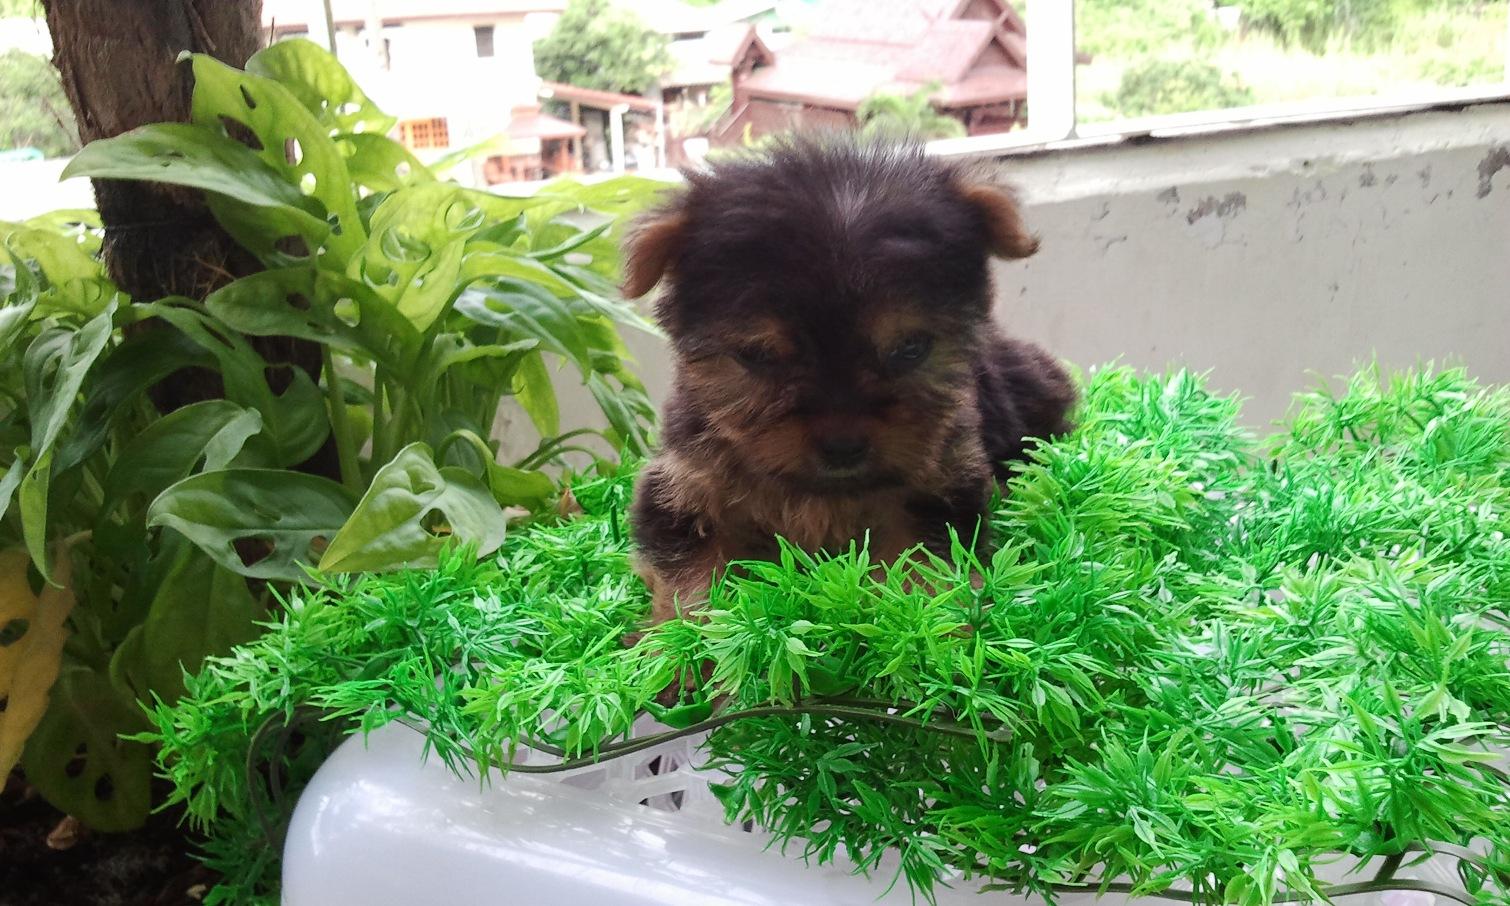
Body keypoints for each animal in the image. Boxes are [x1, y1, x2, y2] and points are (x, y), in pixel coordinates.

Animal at [621, 137, 1075, 623]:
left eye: (911, 348)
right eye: (758, 356)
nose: (843, 447)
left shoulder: (940, 485)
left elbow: (923, 563)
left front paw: (926, 624)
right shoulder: (682, 488)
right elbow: (695, 580)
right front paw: (690, 640)